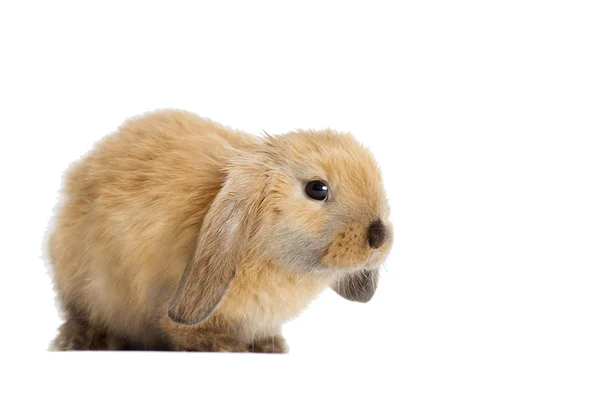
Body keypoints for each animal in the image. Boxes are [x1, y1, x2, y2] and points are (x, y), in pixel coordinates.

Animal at [47, 109, 394, 354]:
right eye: (317, 189)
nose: (378, 236)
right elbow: (177, 327)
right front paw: (223, 344)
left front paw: (271, 346)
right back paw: (76, 340)